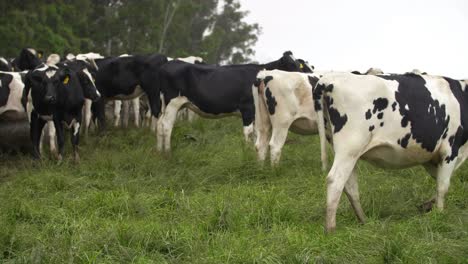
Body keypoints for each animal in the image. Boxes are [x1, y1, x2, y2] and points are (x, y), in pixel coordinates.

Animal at [156, 51, 308, 153]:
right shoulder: (247, 108)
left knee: (159, 123)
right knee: (166, 125)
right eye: (290, 65)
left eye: (298, 65)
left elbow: (257, 133)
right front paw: (248, 152)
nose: (304, 77)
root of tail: (168, 64)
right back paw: (168, 153)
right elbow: (248, 132)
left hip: (164, 104)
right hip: (172, 103)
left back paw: (160, 152)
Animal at [312, 71, 468, 232]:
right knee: (335, 180)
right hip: (349, 147)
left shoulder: (430, 157)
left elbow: (439, 181)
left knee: (350, 185)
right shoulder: (450, 149)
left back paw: (364, 220)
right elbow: (443, 186)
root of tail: (328, 79)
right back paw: (331, 229)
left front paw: (428, 206)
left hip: (346, 152)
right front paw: (440, 214)